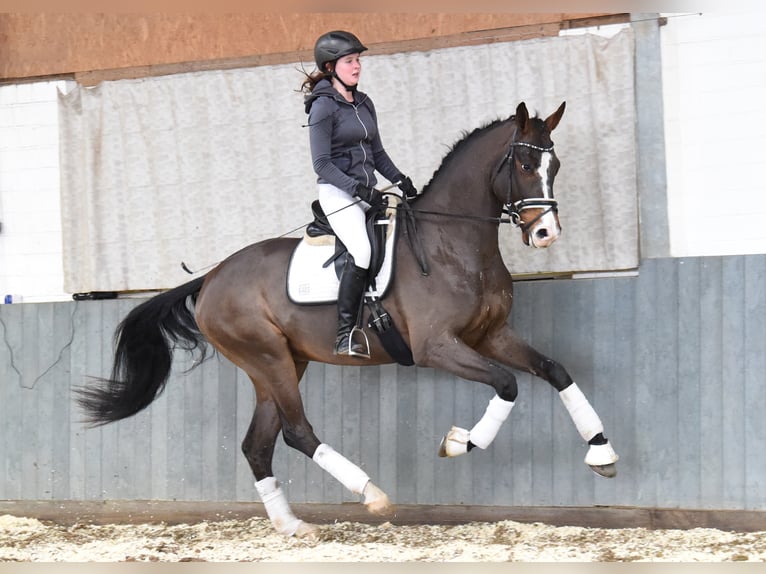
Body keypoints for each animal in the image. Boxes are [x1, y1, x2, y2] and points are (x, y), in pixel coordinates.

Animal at [76, 101, 616, 536]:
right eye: (524, 163)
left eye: (555, 164)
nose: (546, 233)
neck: (455, 244)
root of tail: (211, 278)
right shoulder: (437, 347)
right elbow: (507, 384)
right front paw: (460, 442)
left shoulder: (492, 335)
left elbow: (554, 371)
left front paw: (601, 452)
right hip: (268, 358)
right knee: (297, 432)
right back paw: (372, 495)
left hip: (280, 364)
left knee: (258, 445)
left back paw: (292, 526)